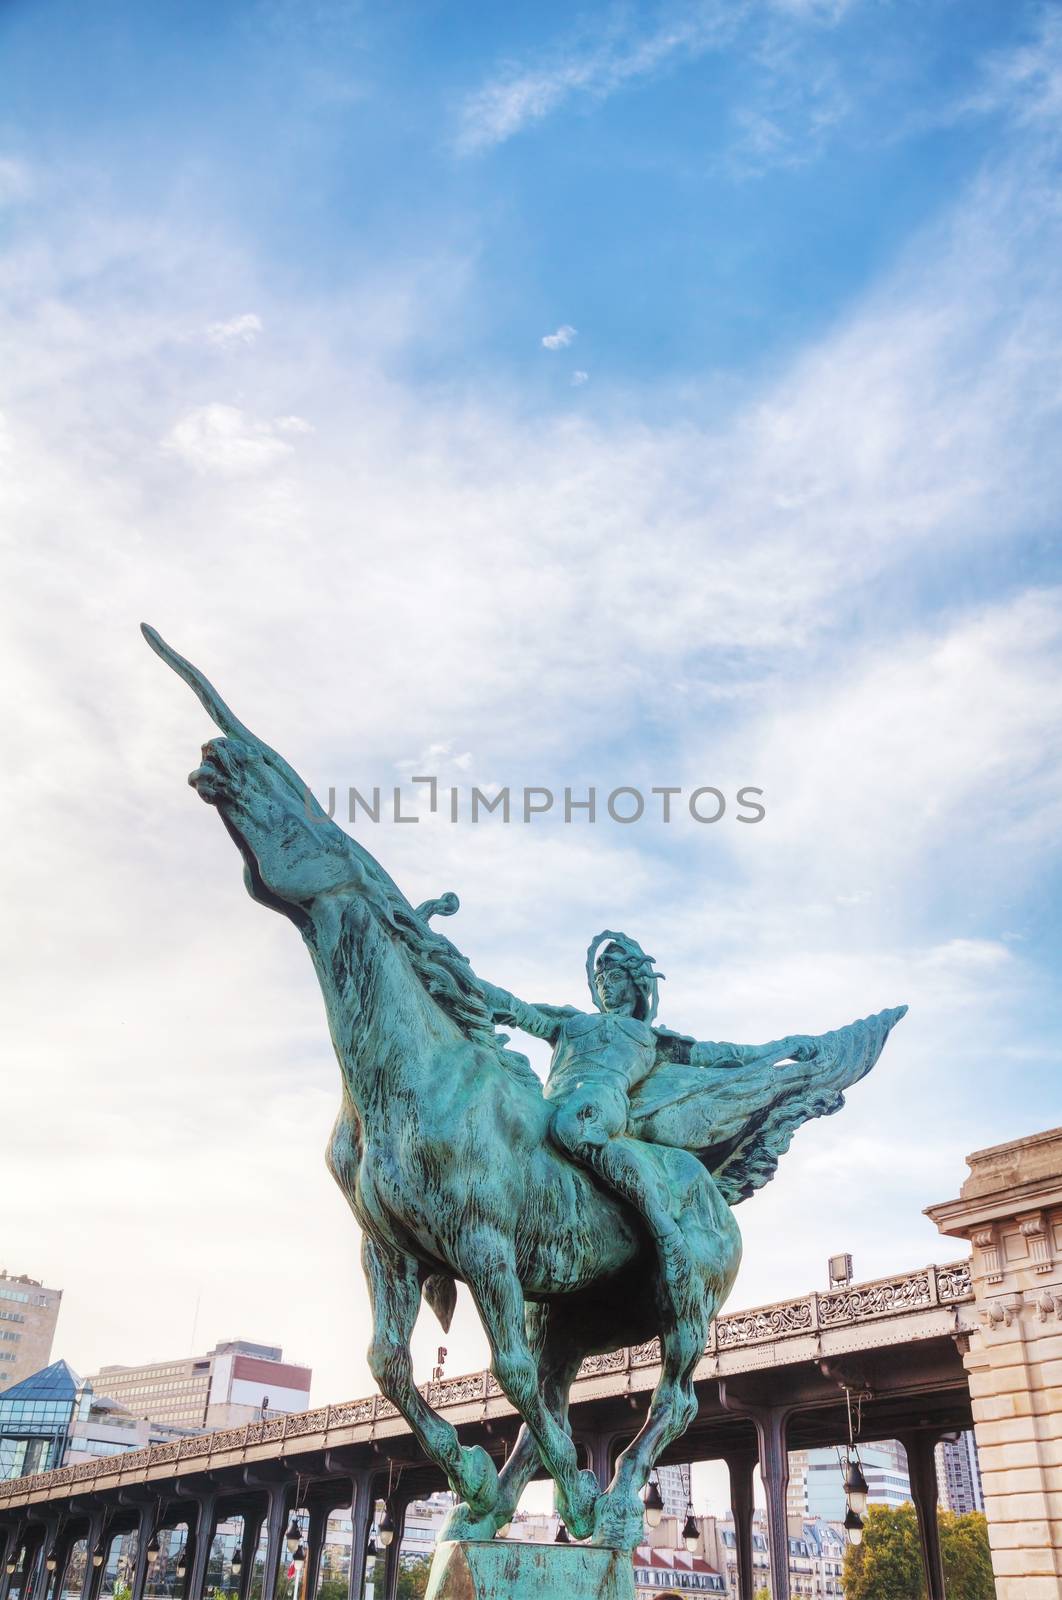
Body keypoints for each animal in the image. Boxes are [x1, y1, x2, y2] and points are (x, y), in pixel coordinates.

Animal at [143, 624, 902, 1548]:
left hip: (683, 1310)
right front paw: (473, 1479)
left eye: (321, 827)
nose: (220, 756)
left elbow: (500, 1372)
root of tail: (713, 1189)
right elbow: (391, 1364)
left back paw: (612, 1505)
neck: (409, 1083)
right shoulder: (389, 1250)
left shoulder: (484, 1246)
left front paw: (564, 1493)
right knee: (556, 1393)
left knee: (674, 1399)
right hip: (570, 1314)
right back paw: (502, 1510)